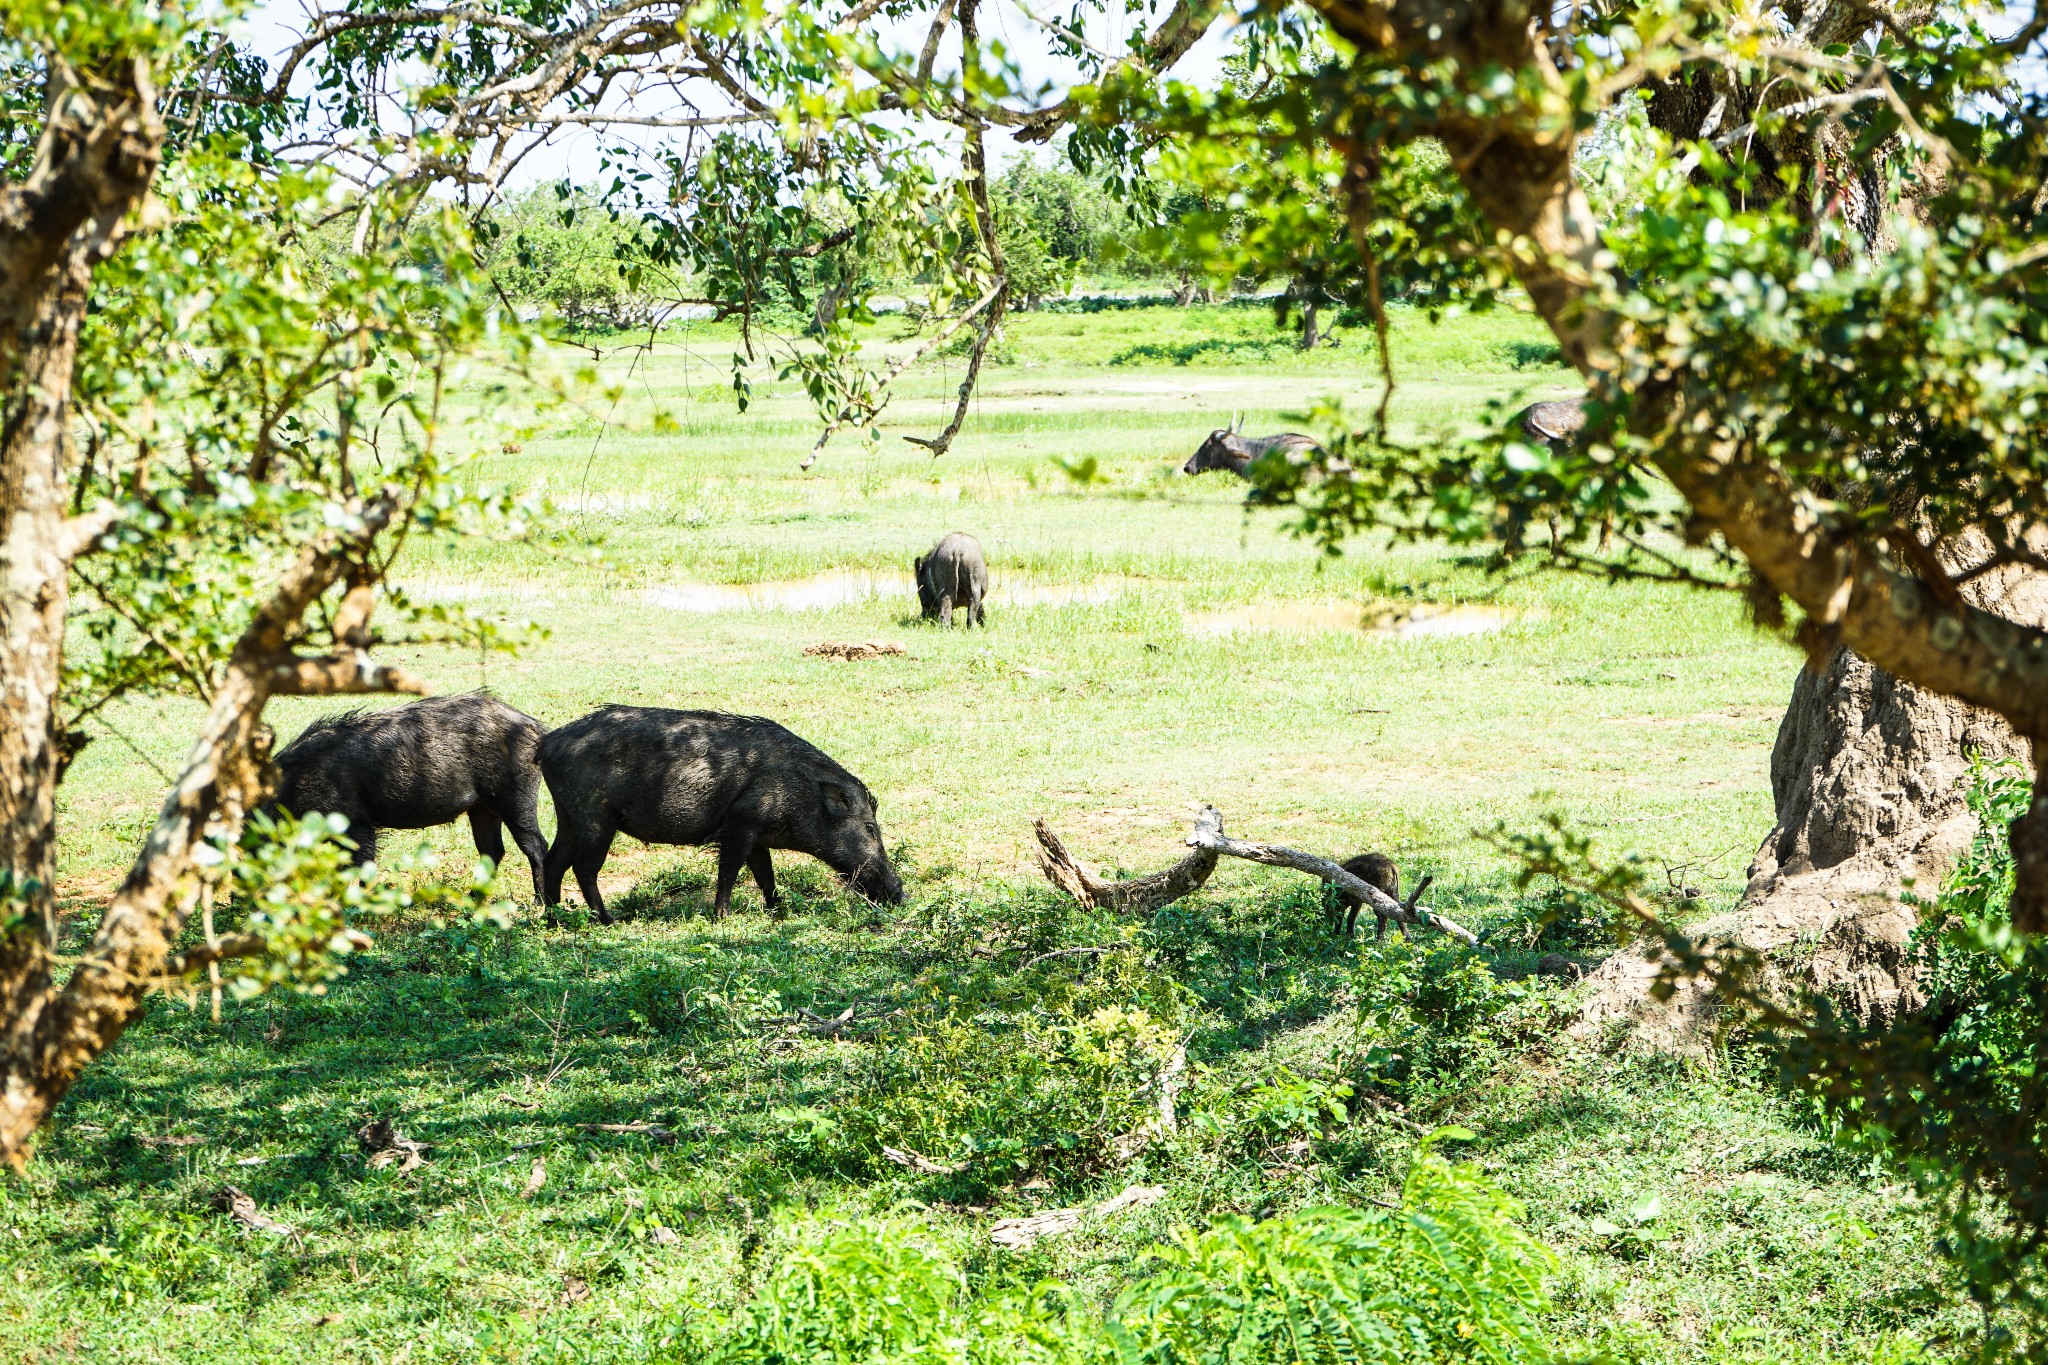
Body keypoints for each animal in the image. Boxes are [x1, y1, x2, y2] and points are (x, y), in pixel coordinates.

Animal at [268, 695, 548, 908]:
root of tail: (535, 727)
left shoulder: (358, 824)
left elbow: (360, 865)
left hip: (515, 798)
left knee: (535, 845)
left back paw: (539, 904)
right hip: (482, 808)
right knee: (492, 850)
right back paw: (471, 900)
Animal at [540, 712, 901, 925]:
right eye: (871, 829)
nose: (899, 893)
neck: (797, 792)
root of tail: (547, 744)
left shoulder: (756, 833)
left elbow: (765, 874)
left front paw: (778, 911)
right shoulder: (741, 825)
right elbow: (730, 871)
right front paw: (723, 918)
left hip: (567, 814)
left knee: (553, 860)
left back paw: (554, 918)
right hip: (594, 816)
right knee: (583, 867)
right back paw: (607, 920)